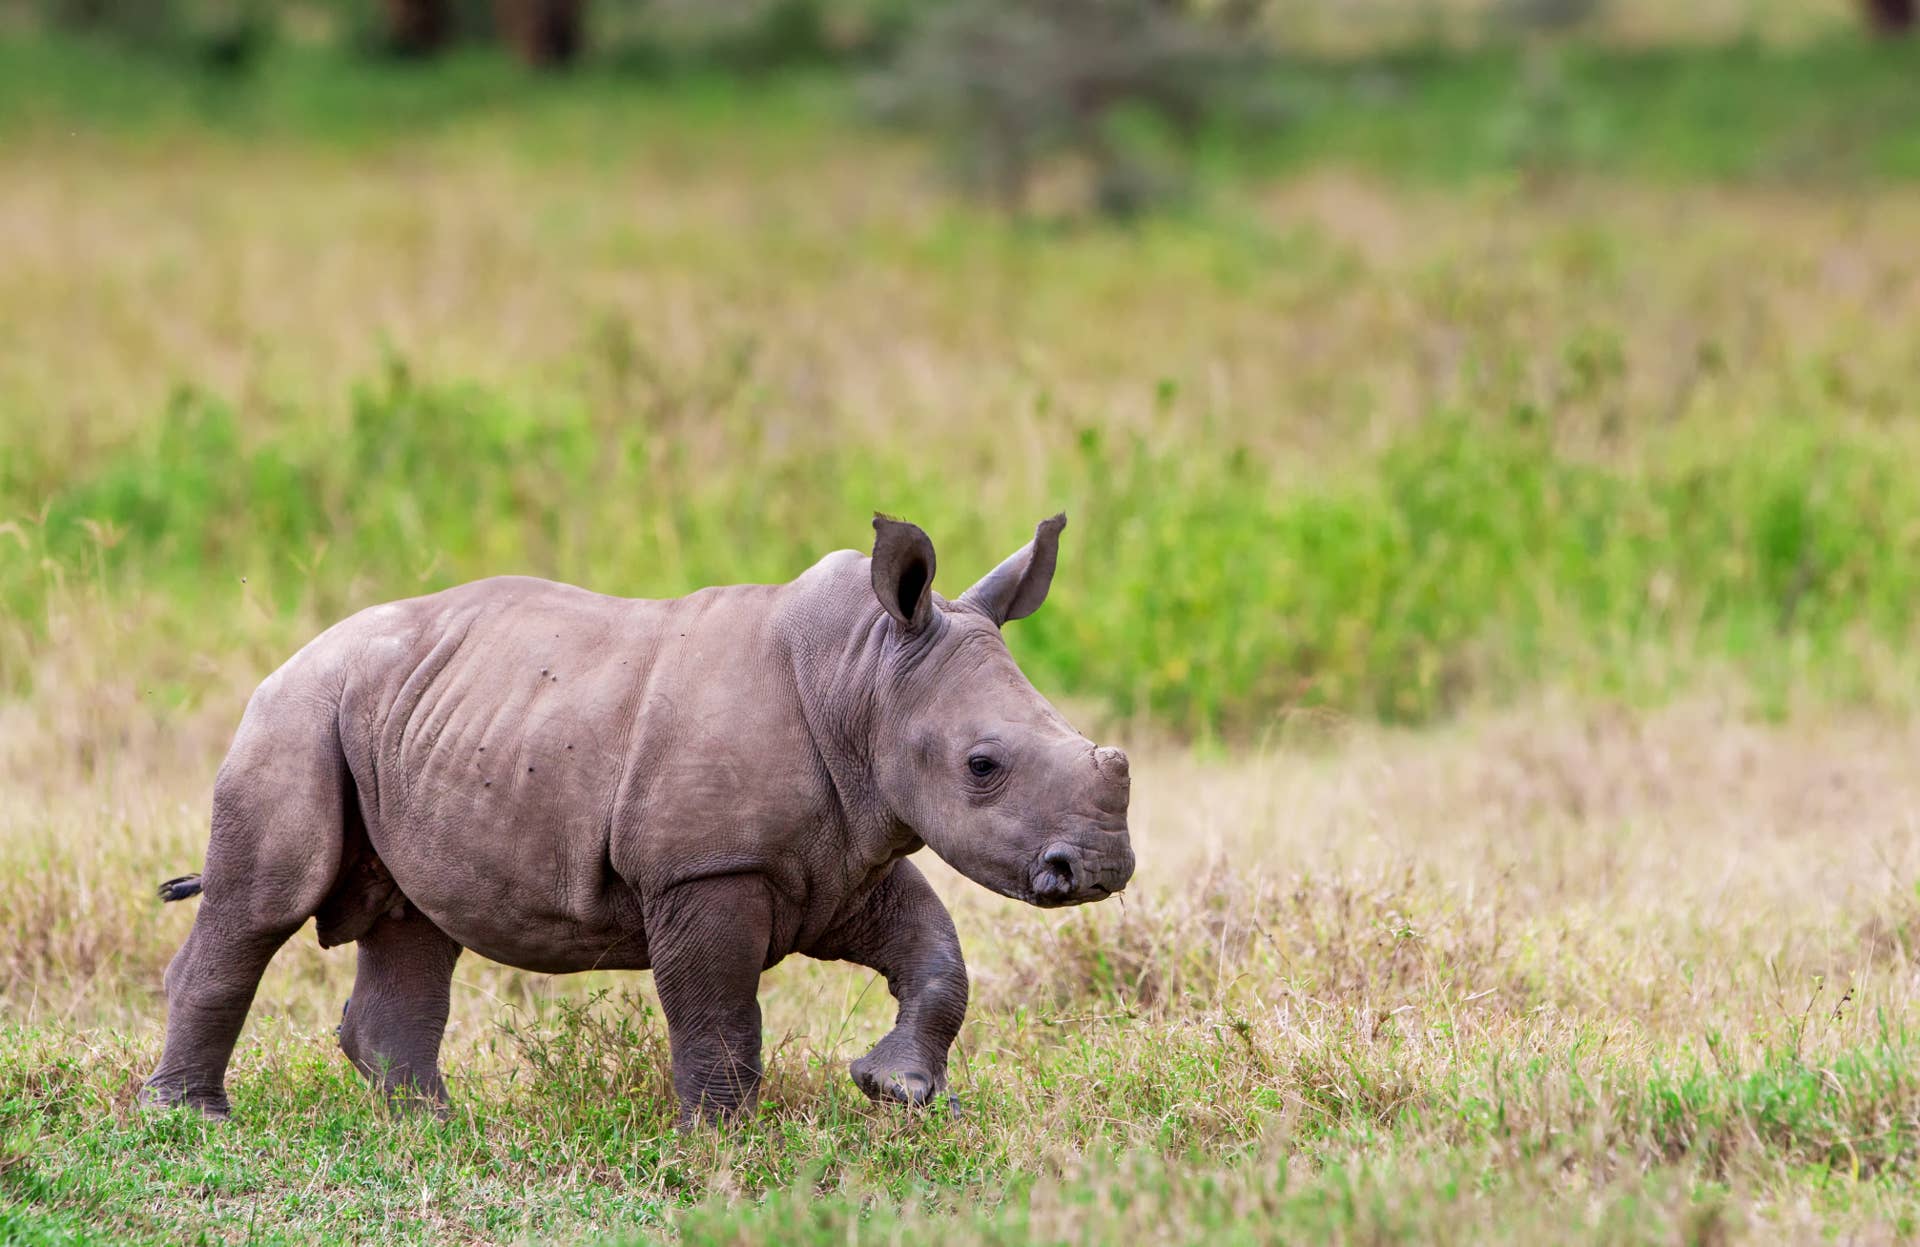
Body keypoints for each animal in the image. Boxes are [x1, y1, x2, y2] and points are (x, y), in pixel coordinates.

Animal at [143, 515, 1134, 1124]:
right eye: (982, 766)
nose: (1098, 869)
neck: (866, 676)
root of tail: (294, 656)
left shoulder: (846, 851)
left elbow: (938, 956)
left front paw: (895, 1088)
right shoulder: (709, 864)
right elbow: (720, 1013)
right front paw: (720, 1144)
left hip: (407, 719)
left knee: (417, 918)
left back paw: (434, 1128)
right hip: (298, 711)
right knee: (266, 902)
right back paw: (192, 1118)